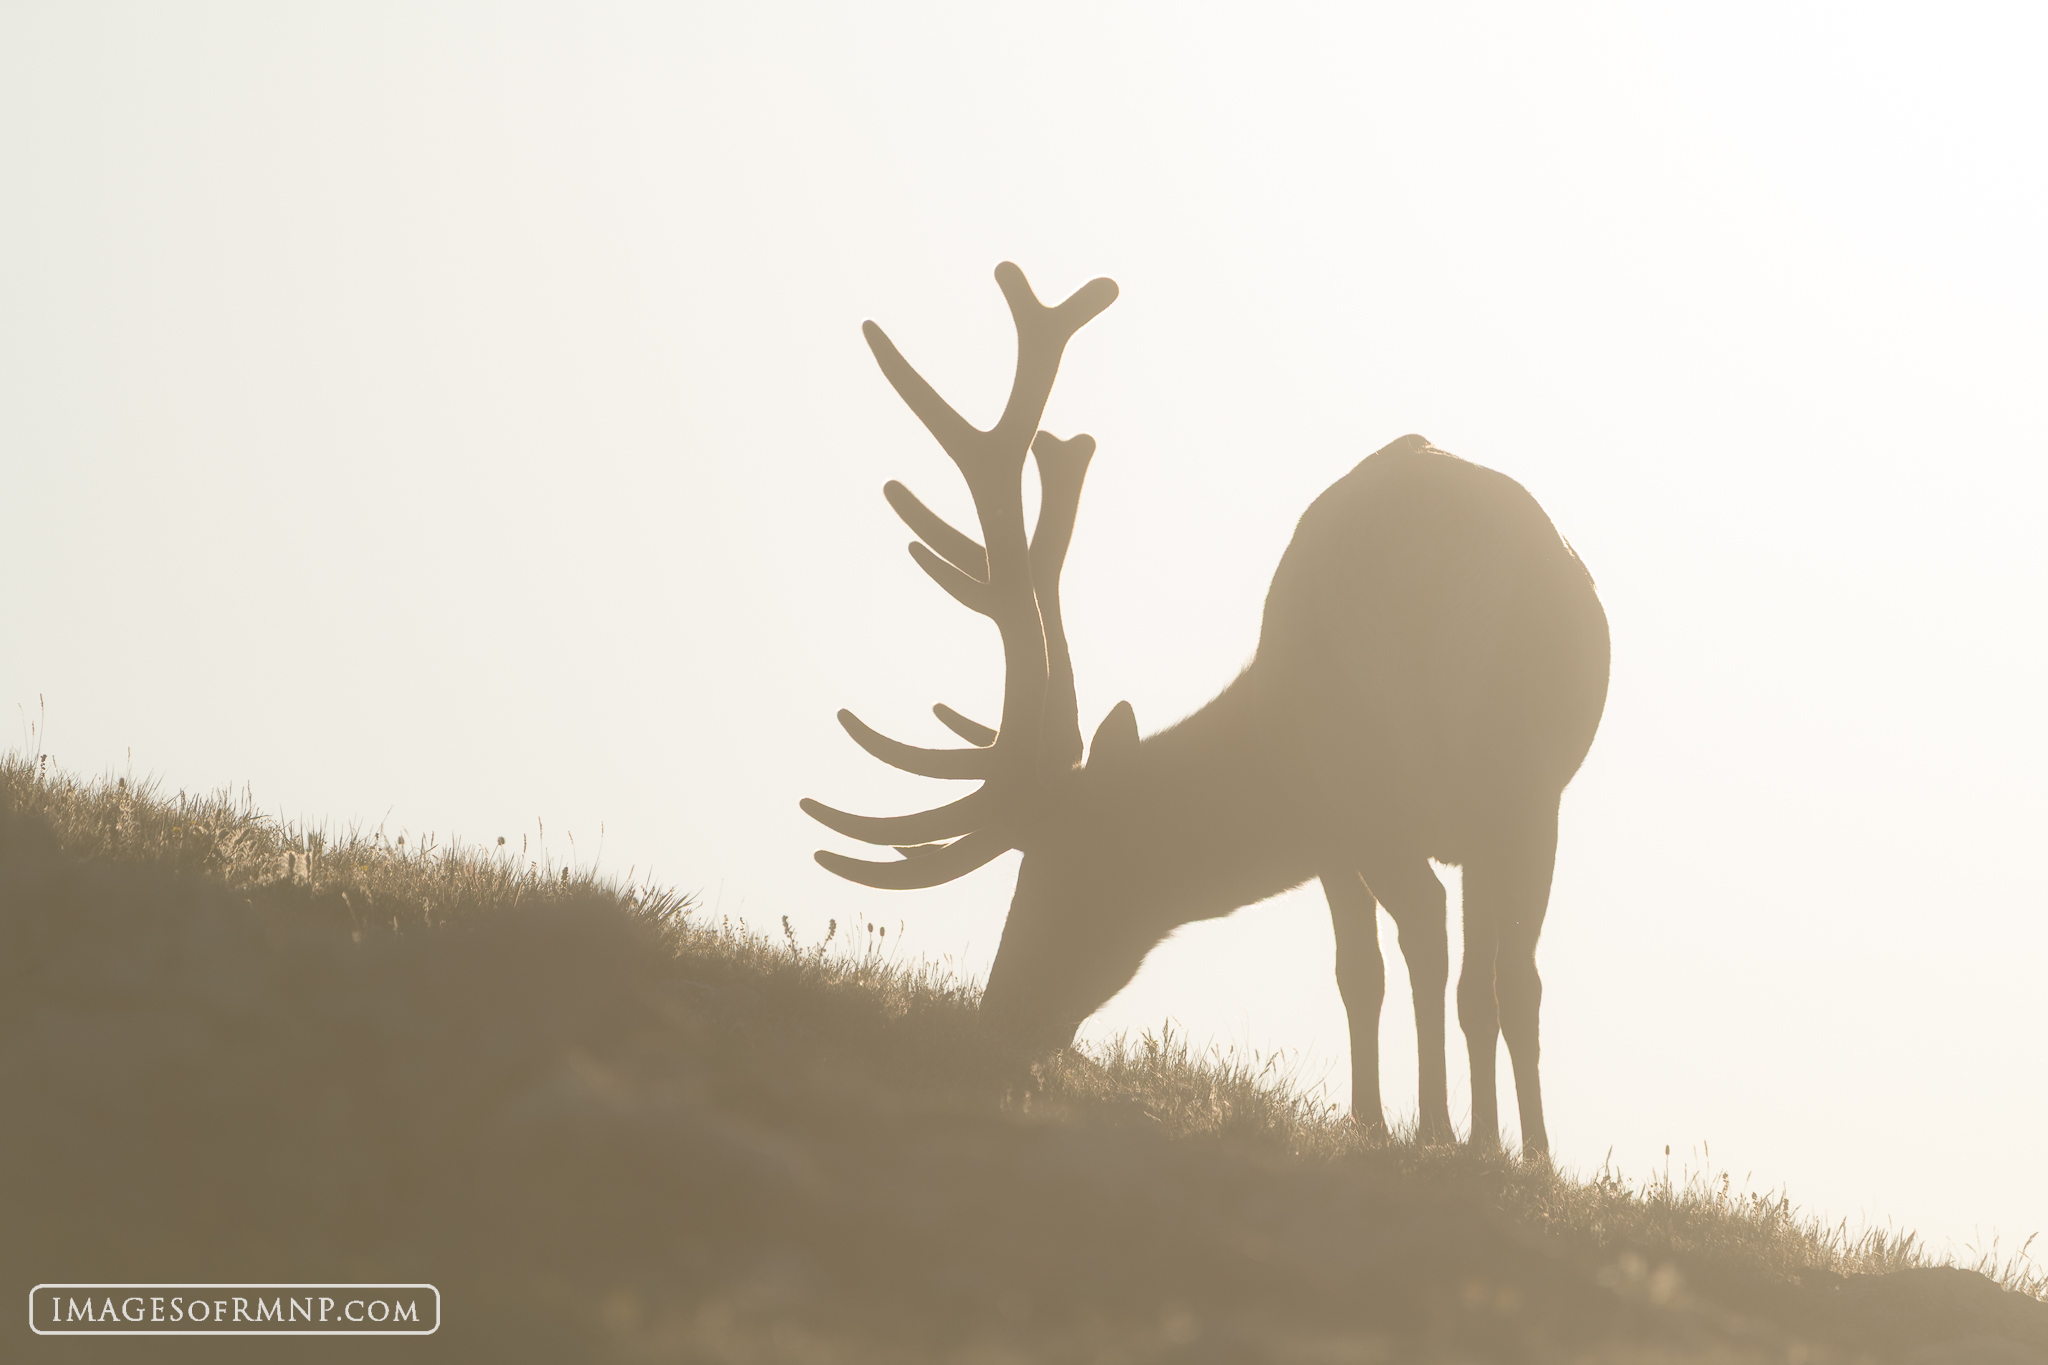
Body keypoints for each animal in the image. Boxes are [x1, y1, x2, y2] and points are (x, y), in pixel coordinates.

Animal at [801, 263, 1609, 1154]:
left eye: (1066, 864)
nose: (1001, 1013)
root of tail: (1434, 554)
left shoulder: (1327, 815)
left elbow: (1362, 971)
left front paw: (1375, 1121)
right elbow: (1474, 985)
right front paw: (1497, 1146)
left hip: (1372, 759)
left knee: (1428, 933)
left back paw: (1430, 1126)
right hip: (1521, 778)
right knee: (1506, 974)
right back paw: (1514, 1150)